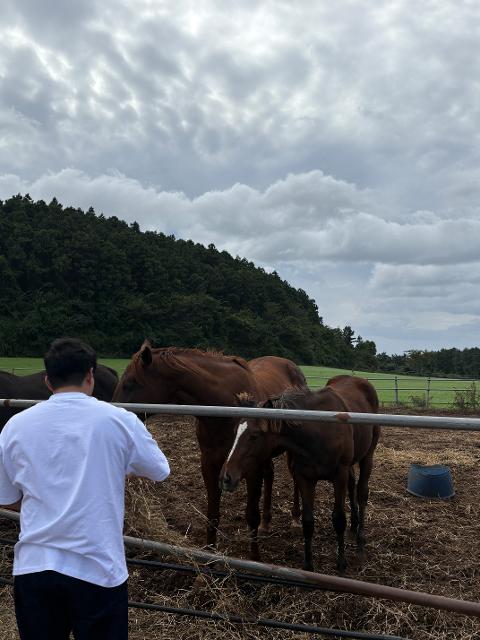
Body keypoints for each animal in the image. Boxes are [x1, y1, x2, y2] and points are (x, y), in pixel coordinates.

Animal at [112, 342, 308, 556]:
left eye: (129, 383)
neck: (225, 407)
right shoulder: (210, 463)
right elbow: (212, 513)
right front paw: (211, 554)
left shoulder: (250, 469)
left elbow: (251, 515)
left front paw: (255, 557)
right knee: (270, 475)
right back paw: (266, 523)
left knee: (295, 479)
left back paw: (295, 518)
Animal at [219, 372, 380, 572]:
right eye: (235, 432)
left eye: (254, 436)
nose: (226, 477)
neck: (319, 432)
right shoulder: (305, 478)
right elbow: (308, 521)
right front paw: (308, 566)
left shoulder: (338, 476)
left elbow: (339, 519)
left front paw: (341, 564)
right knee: (352, 485)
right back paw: (353, 528)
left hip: (368, 455)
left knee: (362, 492)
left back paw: (360, 544)